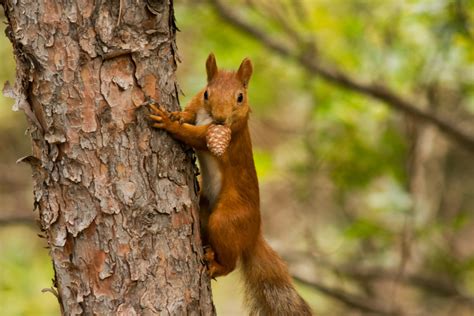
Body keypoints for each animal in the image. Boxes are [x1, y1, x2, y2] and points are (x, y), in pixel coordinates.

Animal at [148, 53, 312, 314]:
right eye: (207, 92)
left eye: (240, 97)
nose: (221, 118)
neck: (208, 117)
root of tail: (253, 235)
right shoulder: (197, 105)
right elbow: (189, 114)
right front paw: (176, 115)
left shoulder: (228, 132)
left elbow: (192, 135)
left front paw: (167, 122)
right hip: (205, 210)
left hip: (226, 220)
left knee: (231, 263)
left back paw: (215, 265)